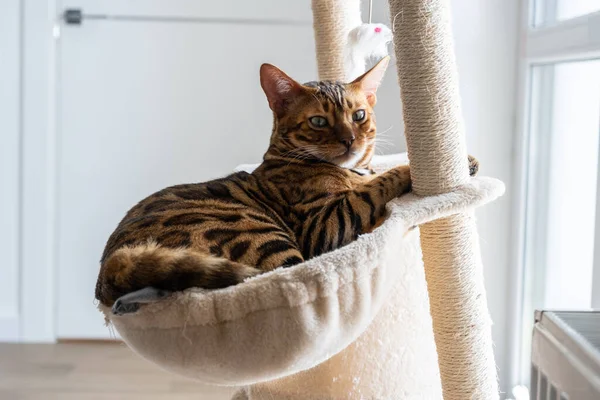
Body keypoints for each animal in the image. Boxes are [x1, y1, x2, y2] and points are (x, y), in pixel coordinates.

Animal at [95, 57, 478, 316]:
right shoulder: (324, 225)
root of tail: (109, 265)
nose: (350, 140)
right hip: (261, 236)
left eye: (358, 115)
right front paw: (442, 164)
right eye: (319, 121)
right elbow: (378, 184)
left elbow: (374, 177)